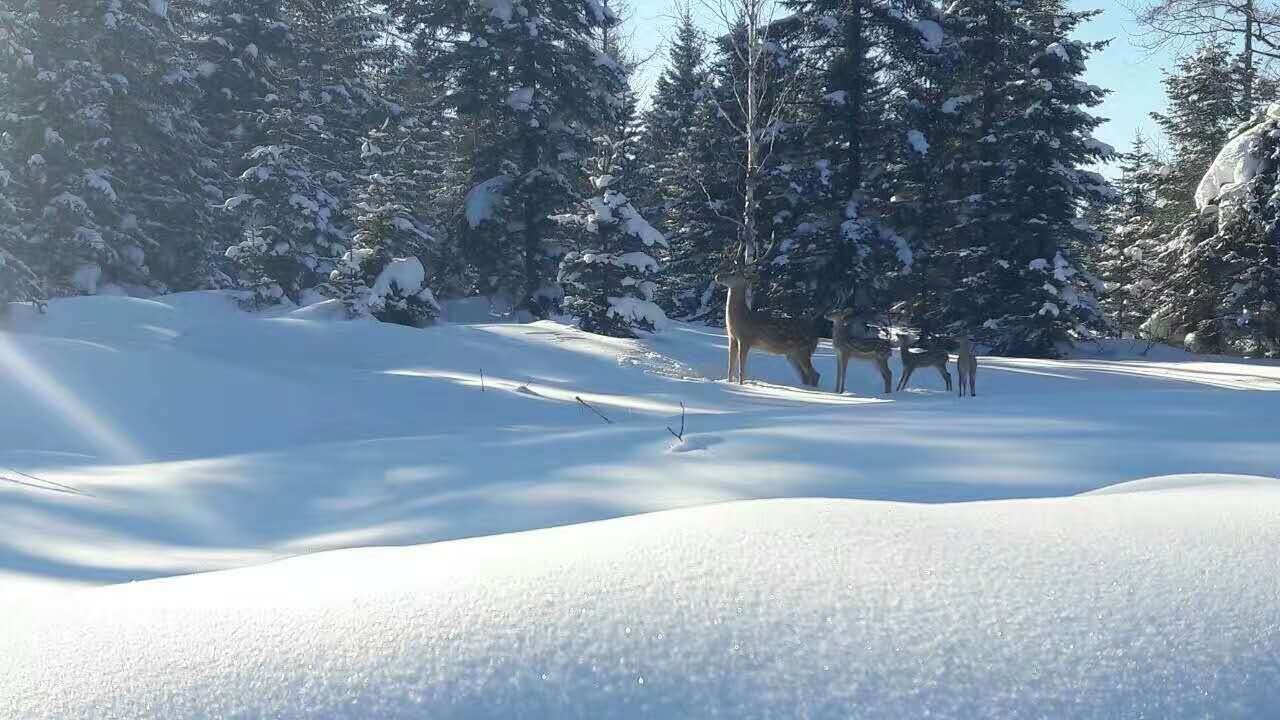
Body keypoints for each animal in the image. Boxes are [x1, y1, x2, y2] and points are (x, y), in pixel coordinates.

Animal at [711, 252, 819, 386]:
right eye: (731, 269)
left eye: (734, 273)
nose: (717, 276)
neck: (741, 318)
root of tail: (816, 337)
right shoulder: (732, 338)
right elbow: (730, 368)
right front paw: (729, 383)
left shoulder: (745, 339)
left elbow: (741, 369)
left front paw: (741, 385)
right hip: (792, 354)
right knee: (806, 377)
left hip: (803, 350)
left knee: (815, 375)